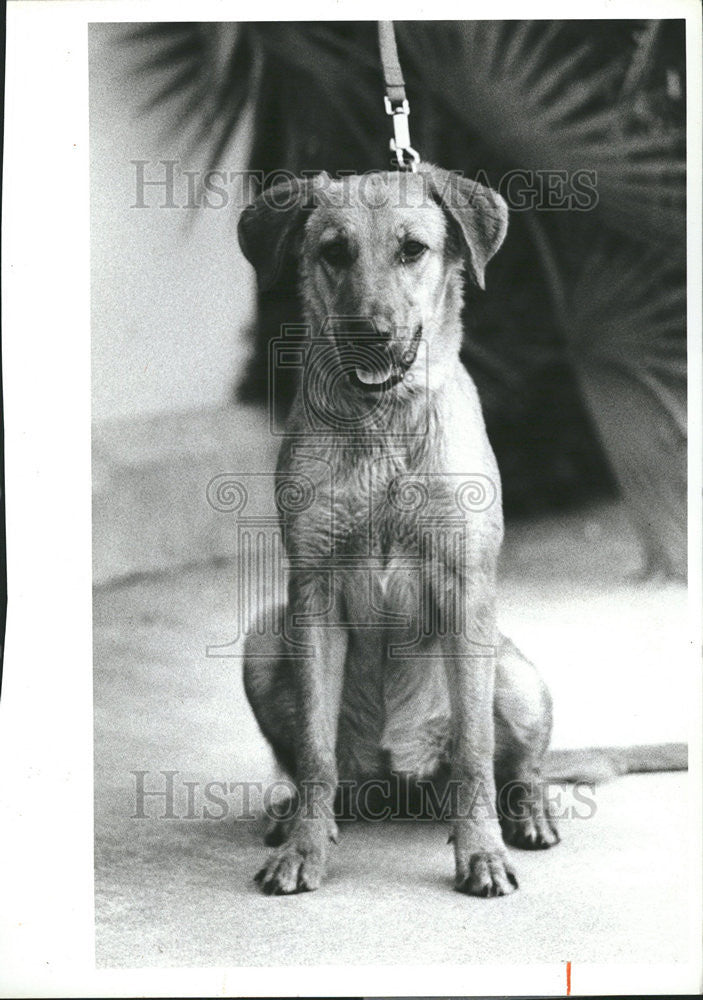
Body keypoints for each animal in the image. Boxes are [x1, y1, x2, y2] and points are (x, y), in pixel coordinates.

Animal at [239, 164, 560, 900]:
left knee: (518, 767)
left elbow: (475, 751)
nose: (370, 332)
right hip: (264, 641)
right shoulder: (314, 592)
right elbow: (314, 751)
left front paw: (481, 853)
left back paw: (527, 814)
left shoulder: (465, 590)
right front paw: (303, 848)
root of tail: (399, 783)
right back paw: (296, 816)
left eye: (413, 249)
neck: (383, 422)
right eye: (333, 251)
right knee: (314, 770)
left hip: (516, 672)